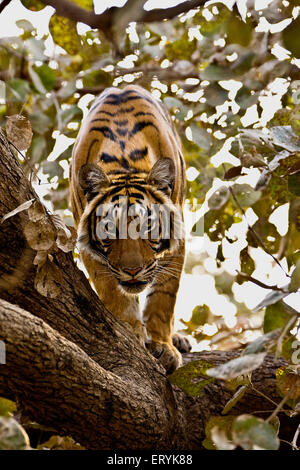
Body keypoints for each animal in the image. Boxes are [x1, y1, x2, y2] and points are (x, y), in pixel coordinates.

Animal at [69, 83, 190, 370]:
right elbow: (114, 291)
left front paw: (163, 345)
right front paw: (131, 330)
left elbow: (163, 297)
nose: (133, 271)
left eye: (148, 227)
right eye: (110, 230)